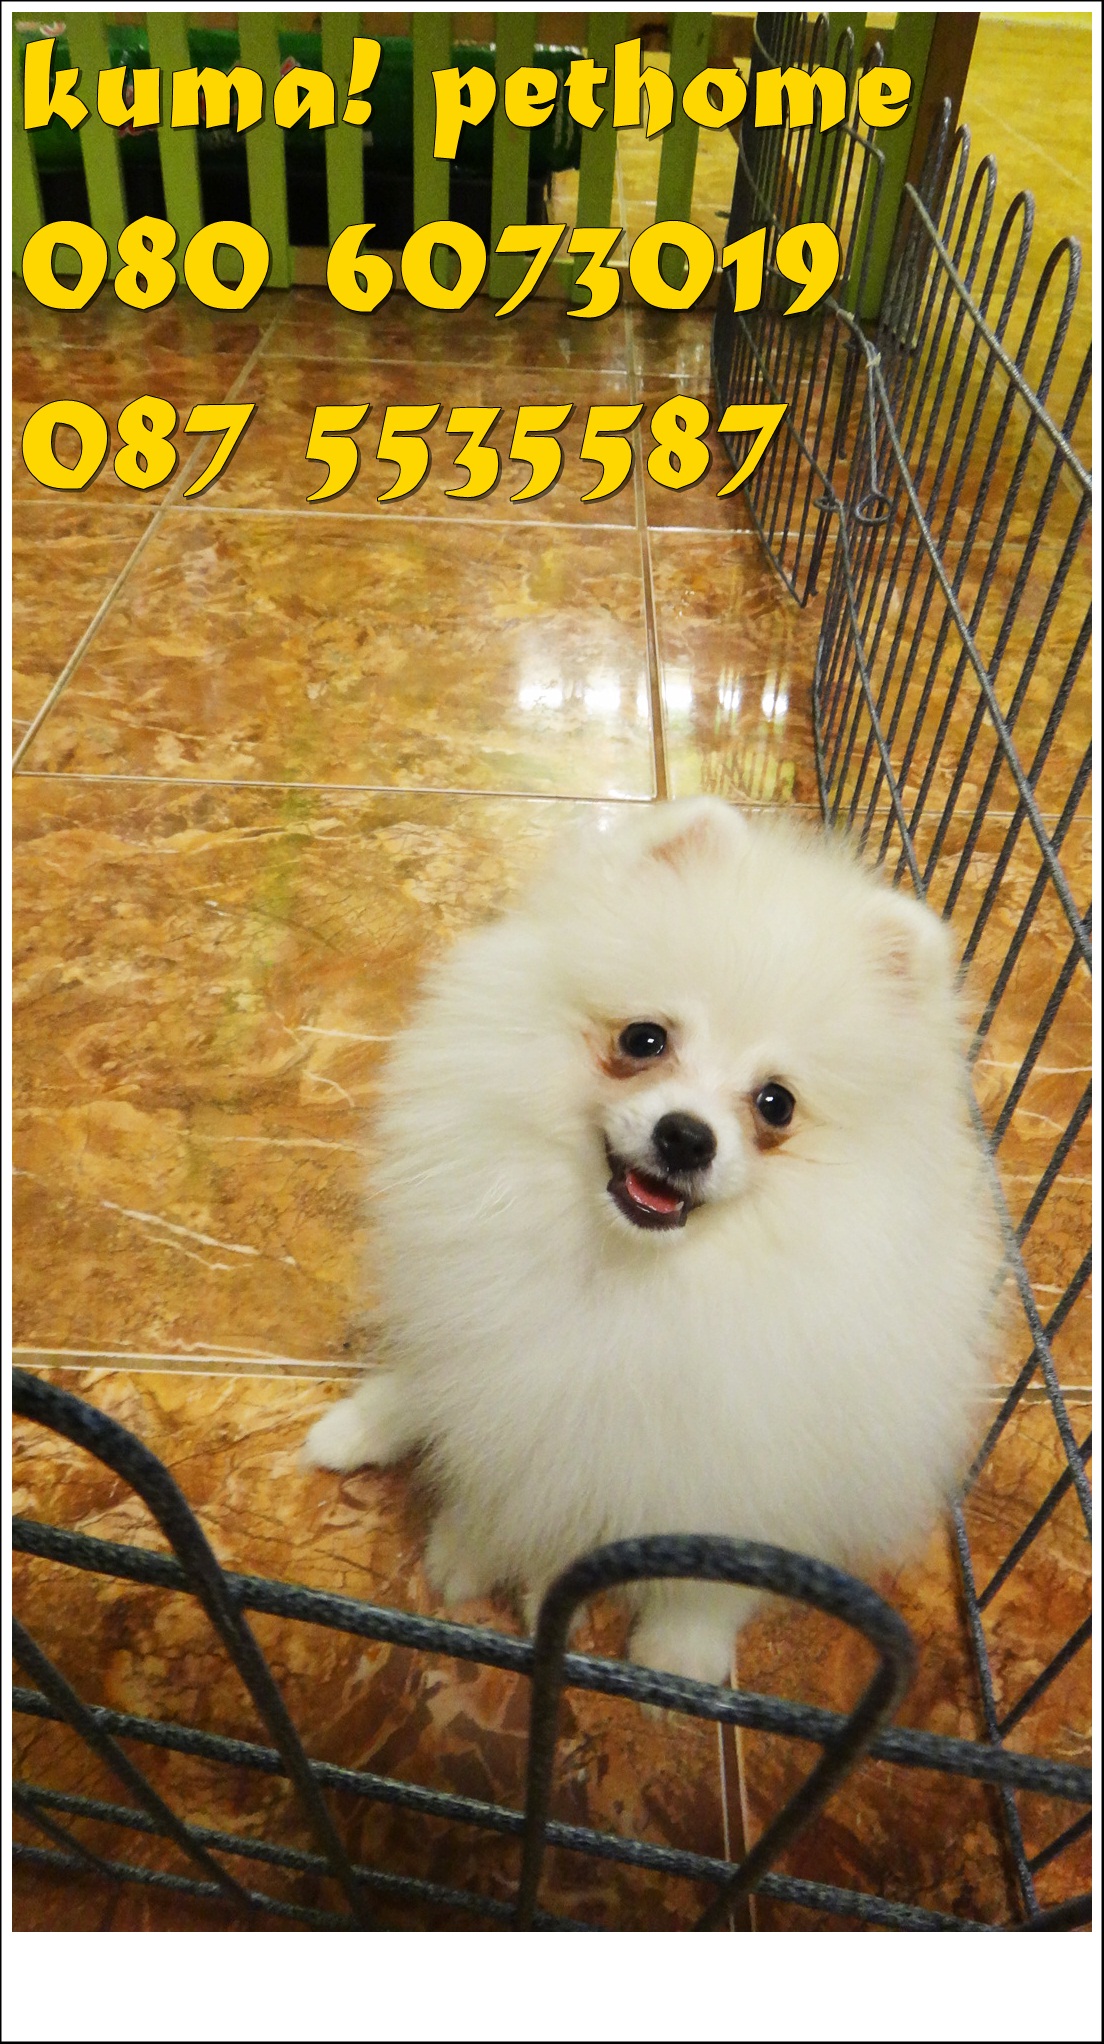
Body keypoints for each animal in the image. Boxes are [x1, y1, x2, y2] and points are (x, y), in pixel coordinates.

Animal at [305, 798, 998, 1683]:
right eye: (644, 1039)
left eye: (776, 1102)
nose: (686, 1137)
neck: (636, 1274)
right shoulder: (515, 1389)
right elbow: (494, 1475)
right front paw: (466, 1554)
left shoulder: (756, 1462)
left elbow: (714, 1574)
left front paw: (680, 1655)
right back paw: (356, 1429)